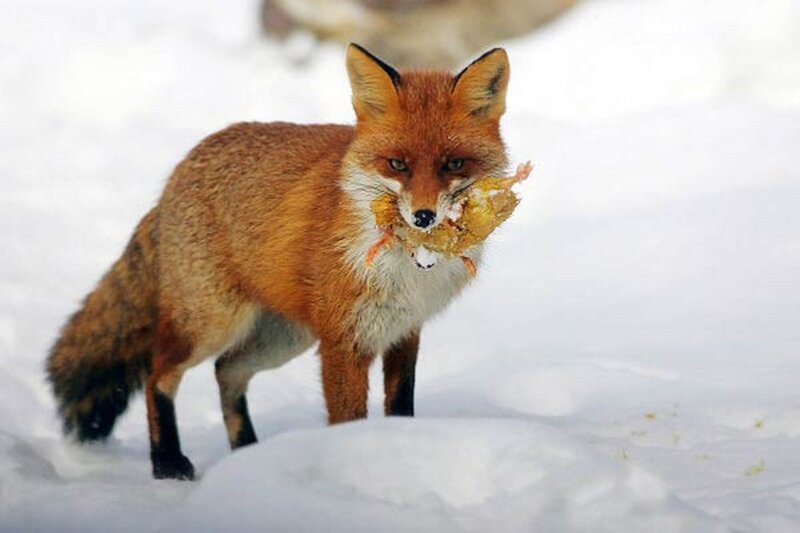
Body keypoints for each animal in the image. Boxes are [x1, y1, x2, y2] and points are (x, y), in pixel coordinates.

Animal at [47, 43, 510, 480]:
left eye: (454, 163)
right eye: (398, 164)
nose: (424, 217)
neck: (405, 268)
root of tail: (174, 177)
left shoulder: (404, 333)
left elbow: (400, 410)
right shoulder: (343, 341)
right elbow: (348, 418)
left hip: (283, 337)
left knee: (226, 371)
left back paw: (248, 455)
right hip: (213, 324)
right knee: (157, 376)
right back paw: (167, 463)